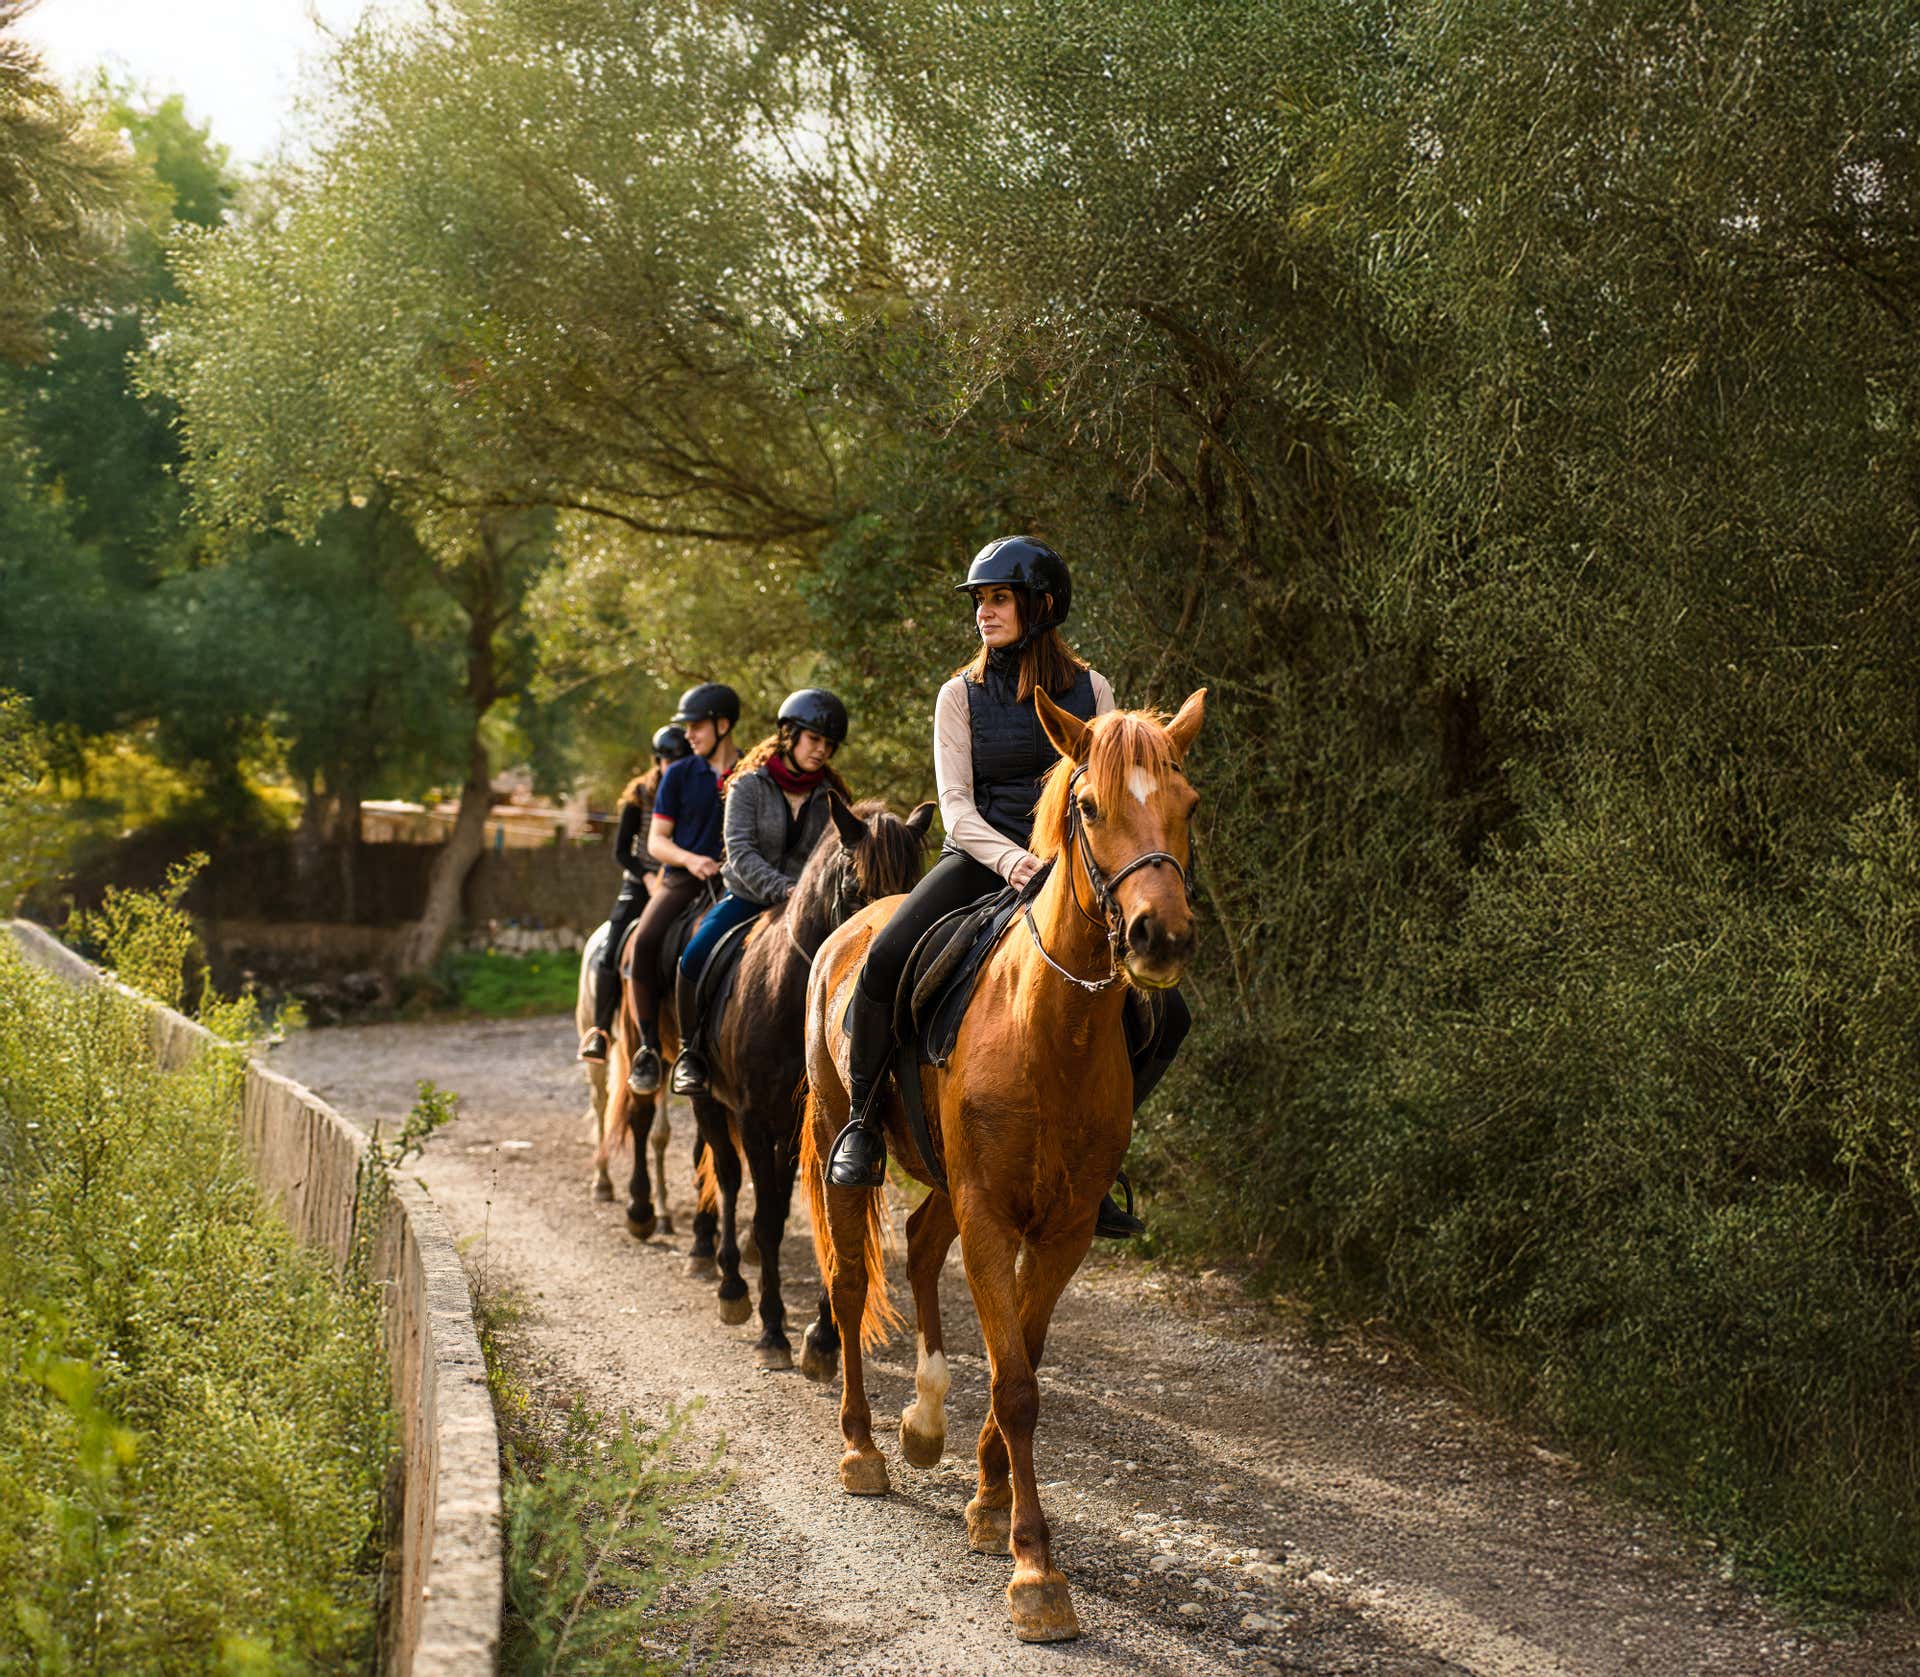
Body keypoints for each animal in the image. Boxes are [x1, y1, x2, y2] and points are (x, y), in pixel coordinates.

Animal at [689, 794, 932, 1366]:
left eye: (916, 883)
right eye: (855, 890)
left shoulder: (831, 1130)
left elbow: (835, 1224)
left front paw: (823, 1337)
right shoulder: (755, 1122)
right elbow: (769, 1218)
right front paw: (773, 1329)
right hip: (709, 1102)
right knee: (728, 1178)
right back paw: (731, 1284)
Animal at [799, 689, 1205, 1645]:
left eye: (1189, 803)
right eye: (1088, 805)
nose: (1160, 937)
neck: (1050, 1026)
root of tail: (849, 929)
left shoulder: (1062, 1230)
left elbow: (1022, 1354)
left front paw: (987, 1503)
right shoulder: (991, 1216)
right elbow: (1015, 1381)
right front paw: (1035, 1571)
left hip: (949, 1179)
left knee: (916, 1243)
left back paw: (922, 1419)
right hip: (845, 1141)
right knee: (848, 1281)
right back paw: (863, 1447)